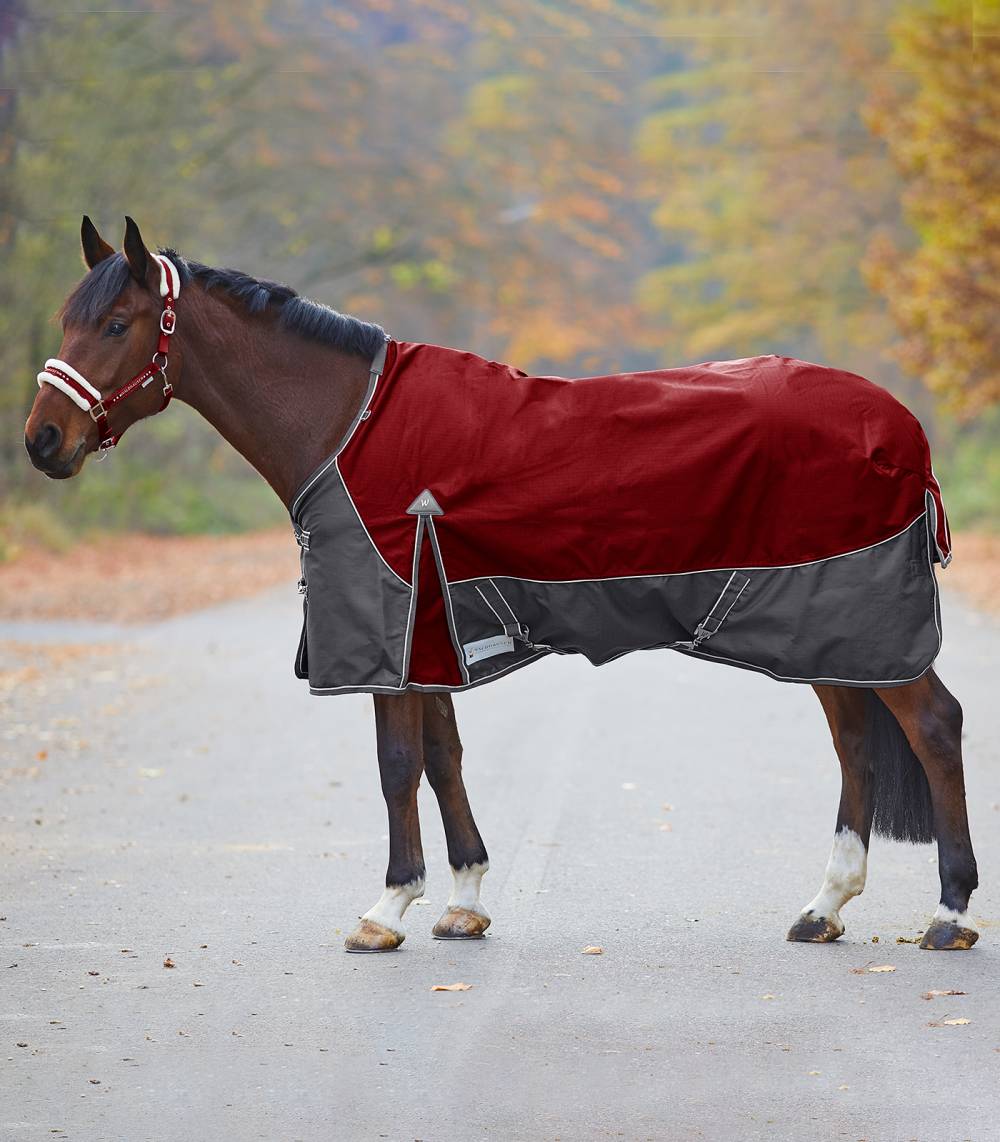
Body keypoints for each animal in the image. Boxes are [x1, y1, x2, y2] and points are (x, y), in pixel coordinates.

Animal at [21, 218, 977, 950]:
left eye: (117, 324)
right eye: (70, 318)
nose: (42, 440)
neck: (349, 424)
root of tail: (902, 428)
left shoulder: (391, 630)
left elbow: (397, 764)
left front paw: (387, 908)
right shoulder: (431, 636)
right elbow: (443, 758)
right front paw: (464, 902)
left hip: (854, 620)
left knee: (933, 726)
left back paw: (949, 913)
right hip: (828, 627)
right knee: (855, 741)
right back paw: (824, 907)